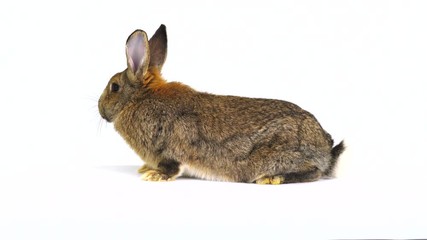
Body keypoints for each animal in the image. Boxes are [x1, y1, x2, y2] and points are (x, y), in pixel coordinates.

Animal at [98, 24, 346, 184]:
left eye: (114, 87)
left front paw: (155, 176)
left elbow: (172, 165)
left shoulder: (170, 149)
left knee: (313, 172)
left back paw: (271, 178)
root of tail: (326, 149)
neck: (140, 98)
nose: (100, 109)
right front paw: (146, 169)